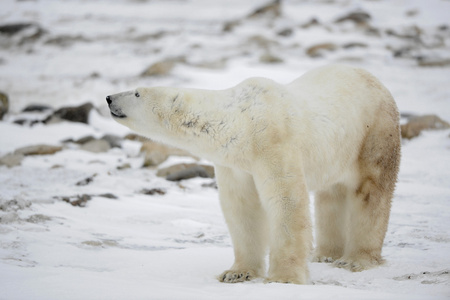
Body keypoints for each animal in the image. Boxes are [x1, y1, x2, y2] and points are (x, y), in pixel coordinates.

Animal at [106, 64, 400, 284]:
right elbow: (241, 208)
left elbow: (286, 203)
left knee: (371, 192)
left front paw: (283, 278)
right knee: (331, 195)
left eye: (137, 93)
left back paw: (356, 259)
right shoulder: (235, 164)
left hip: (373, 133)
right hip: (336, 150)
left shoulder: (274, 143)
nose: (109, 98)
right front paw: (236, 273)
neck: (242, 123)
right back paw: (325, 254)